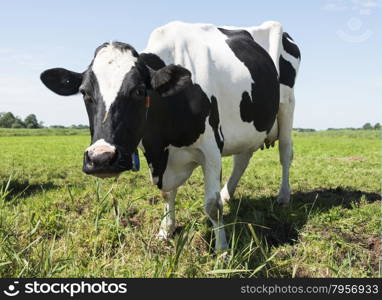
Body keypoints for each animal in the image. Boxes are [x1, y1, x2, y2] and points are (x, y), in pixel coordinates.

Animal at [40, 20, 300, 251]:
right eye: (85, 93)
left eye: (139, 90)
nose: (101, 158)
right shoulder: (160, 156)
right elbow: (166, 193)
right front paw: (166, 230)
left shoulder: (211, 148)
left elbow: (212, 205)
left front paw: (222, 249)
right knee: (242, 158)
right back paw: (228, 193)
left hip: (287, 105)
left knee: (285, 152)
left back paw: (283, 196)